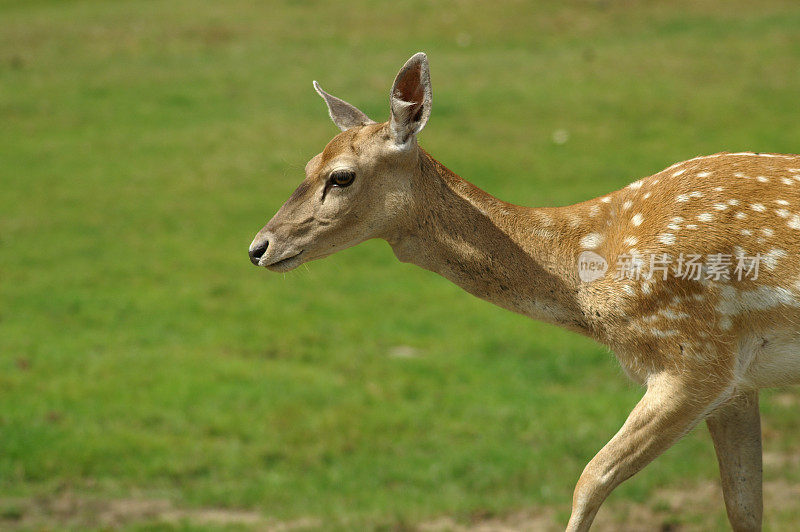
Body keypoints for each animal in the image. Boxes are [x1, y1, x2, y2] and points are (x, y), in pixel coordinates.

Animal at [248, 53, 800, 532]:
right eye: (306, 166)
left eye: (341, 176)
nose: (259, 247)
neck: (584, 279)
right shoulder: (736, 385)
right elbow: (744, 507)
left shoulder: (696, 358)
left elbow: (589, 480)